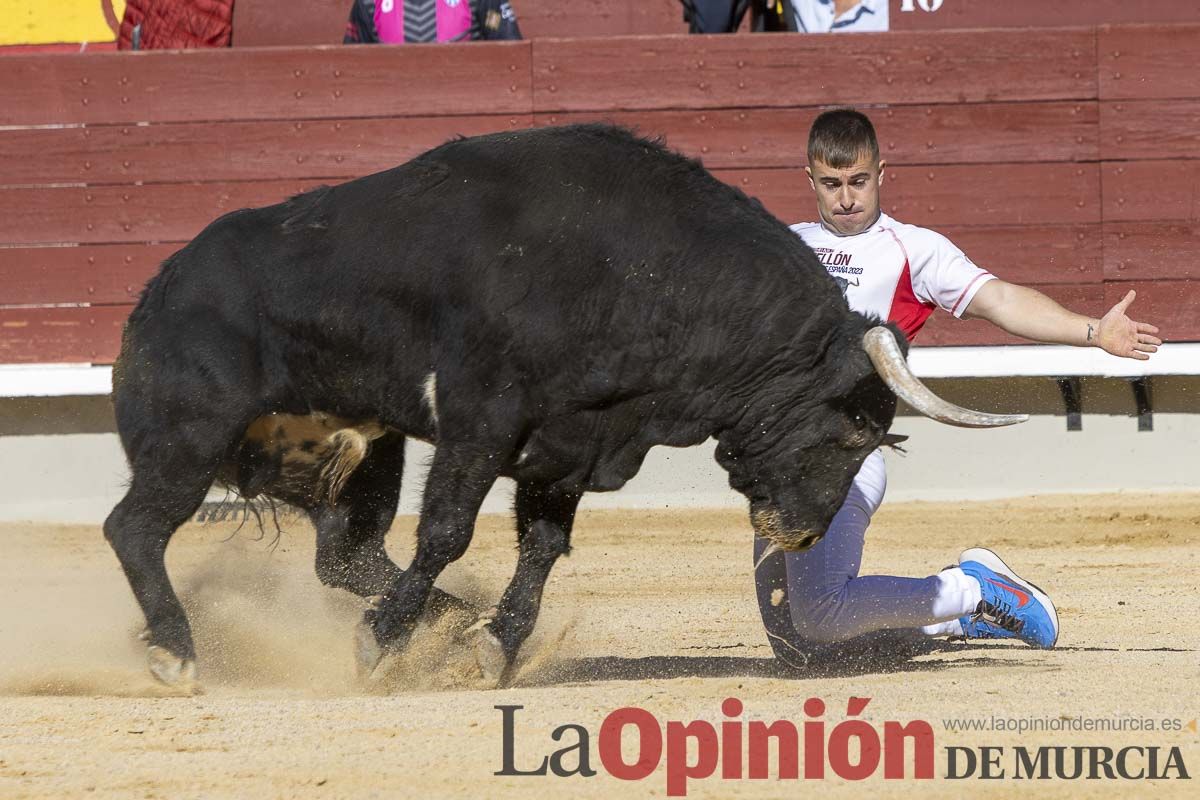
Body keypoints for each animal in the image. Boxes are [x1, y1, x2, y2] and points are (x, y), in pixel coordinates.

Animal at [108, 123, 1017, 690]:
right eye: (852, 428)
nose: (803, 535)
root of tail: (159, 288)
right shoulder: (482, 419)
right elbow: (448, 530)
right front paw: (382, 645)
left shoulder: (568, 445)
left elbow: (542, 548)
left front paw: (491, 644)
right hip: (191, 435)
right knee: (136, 528)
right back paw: (179, 654)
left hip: (356, 448)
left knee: (344, 551)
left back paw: (443, 619)